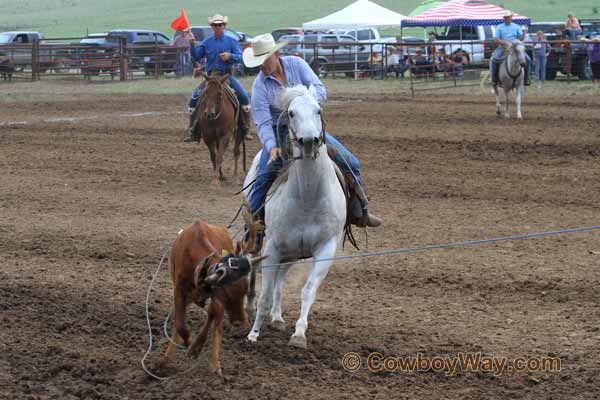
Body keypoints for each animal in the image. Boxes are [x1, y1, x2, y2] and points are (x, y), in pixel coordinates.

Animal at [243, 86, 346, 348]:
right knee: (256, 267)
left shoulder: (326, 248)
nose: (309, 141)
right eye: (291, 113)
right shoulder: (273, 247)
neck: (308, 198)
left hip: (292, 252)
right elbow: (266, 294)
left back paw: (278, 318)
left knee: (281, 280)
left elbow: (308, 290)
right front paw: (253, 334)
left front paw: (299, 334)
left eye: (318, 110)